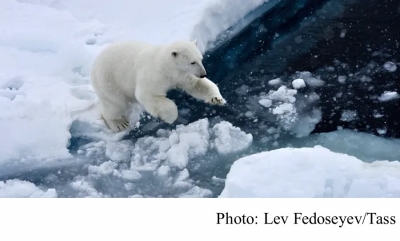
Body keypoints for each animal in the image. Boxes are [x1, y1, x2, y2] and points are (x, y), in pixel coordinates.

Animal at [92, 40, 227, 133]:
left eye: (201, 59)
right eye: (192, 62)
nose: (204, 74)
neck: (167, 67)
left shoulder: (182, 76)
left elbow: (196, 85)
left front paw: (216, 99)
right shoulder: (155, 76)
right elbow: (147, 95)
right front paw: (170, 117)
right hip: (108, 80)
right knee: (116, 103)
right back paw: (119, 123)